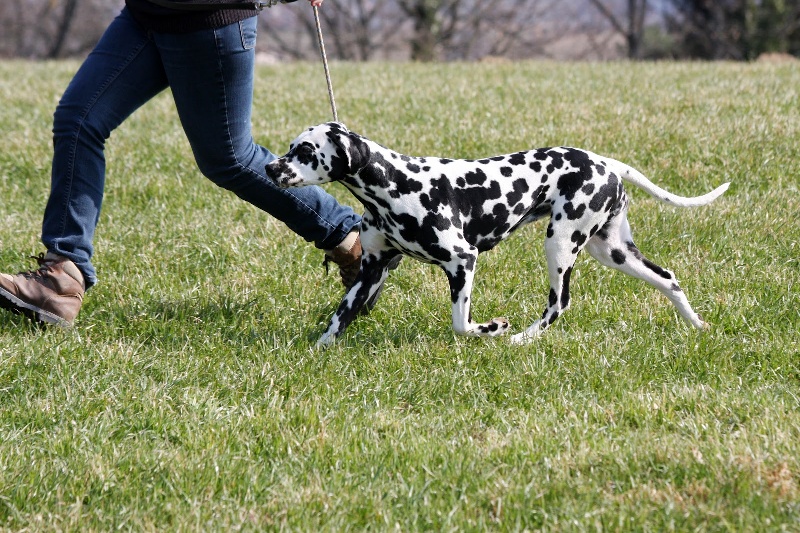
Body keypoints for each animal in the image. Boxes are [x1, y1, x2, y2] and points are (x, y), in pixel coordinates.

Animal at [266, 121, 728, 344]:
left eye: (305, 152)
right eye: (290, 147)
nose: (270, 167)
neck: (394, 183)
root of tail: (606, 162)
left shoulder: (461, 262)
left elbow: (461, 324)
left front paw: (494, 328)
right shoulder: (370, 268)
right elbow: (337, 319)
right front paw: (318, 349)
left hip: (560, 245)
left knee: (559, 304)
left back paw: (521, 339)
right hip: (612, 251)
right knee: (668, 278)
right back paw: (698, 325)